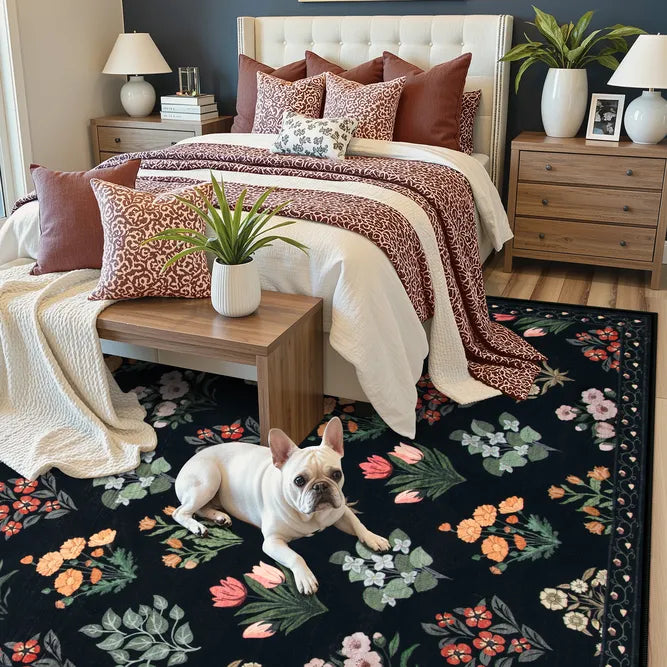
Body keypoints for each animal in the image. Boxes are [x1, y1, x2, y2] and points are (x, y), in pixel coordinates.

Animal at [173, 416, 390, 594]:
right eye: (299, 480)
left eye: (337, 474)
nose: (321, 486)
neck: (311, 516)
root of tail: (189, 462)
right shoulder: (272, 541)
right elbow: (295, 557)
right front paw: (305, 577)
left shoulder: (340, 510)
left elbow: (357, 523)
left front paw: (373, 538)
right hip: (209, 480)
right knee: (180, 512)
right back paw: (197, 527)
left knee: (200, 508)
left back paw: (219, 517)